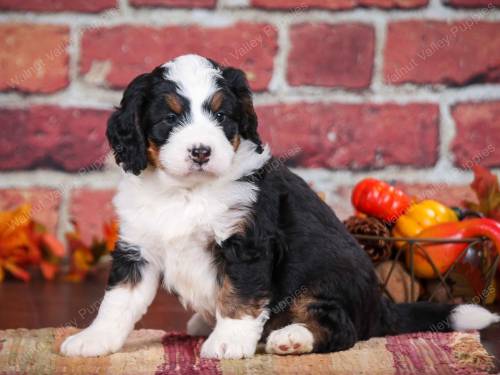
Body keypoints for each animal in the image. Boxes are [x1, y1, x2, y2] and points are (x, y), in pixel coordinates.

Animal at [61, 54, 500, 360]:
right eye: (169, 118)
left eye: (222, 115)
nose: (201, 151)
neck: (187, 192)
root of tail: (380, 306)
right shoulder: (138, 247)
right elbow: (118, 301)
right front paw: (92, 340)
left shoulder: (248, 243)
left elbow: (240, 297)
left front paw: (228, 342)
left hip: (324, 277)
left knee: (340, 327)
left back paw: (290, 337)